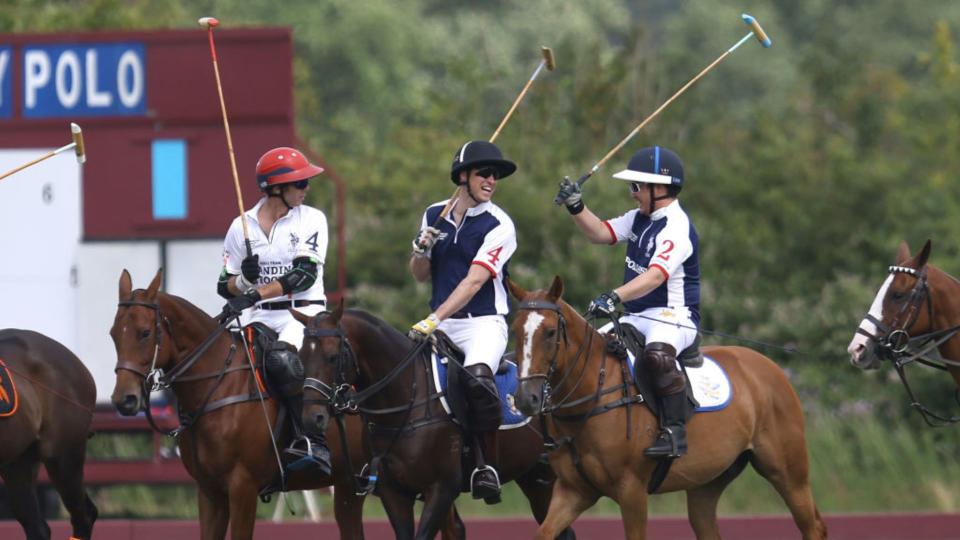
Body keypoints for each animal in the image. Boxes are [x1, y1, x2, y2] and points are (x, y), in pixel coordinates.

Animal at [109, 270, 372, 540]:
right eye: (113, 334)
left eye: (145, 333)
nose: (124, 399)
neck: (218, 384)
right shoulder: (210, 492)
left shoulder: (243, 487)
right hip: (348, 485)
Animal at [296, 304, 572, 540]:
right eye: (300, 356)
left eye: (332, 357)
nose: (312, 417)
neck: (406, 401)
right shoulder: (393, 491)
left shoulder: (441, 488)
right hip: (534, 478)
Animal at [510, 278, 824, 540]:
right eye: (514, 330)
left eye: (550, 332)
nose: (527, 399)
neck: (591, 396)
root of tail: (772, 367)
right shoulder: (572, 490)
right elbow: (544, 533)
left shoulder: (632, 490)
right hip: (706, 483)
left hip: (788, 472)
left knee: (813, 526)